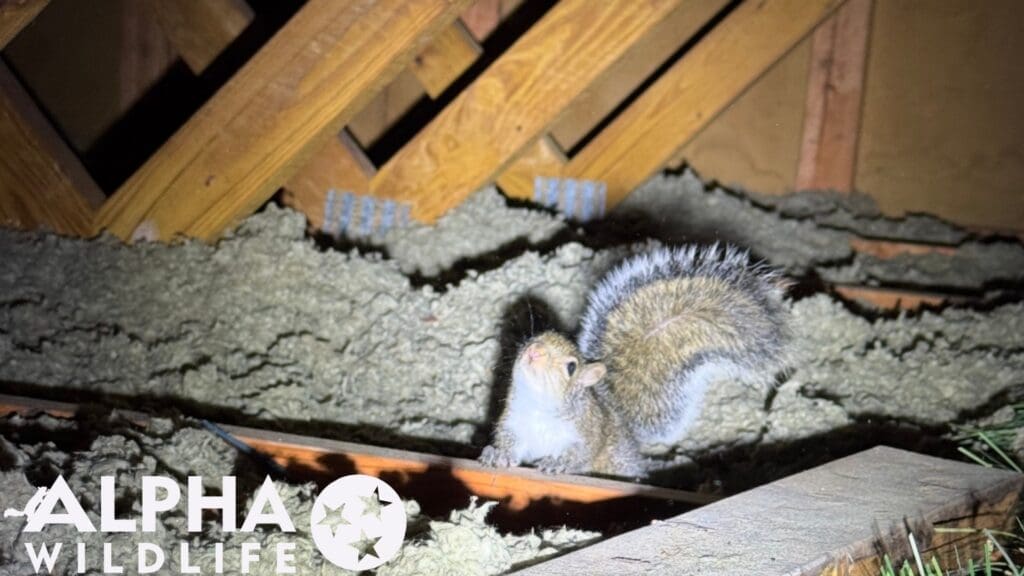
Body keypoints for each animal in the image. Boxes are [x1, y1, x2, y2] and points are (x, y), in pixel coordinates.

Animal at [479, 244, 791, 477]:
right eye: (534, 338)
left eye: (571, 367)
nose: (534, 352)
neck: (538, 407)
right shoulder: (513, 426)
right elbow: (511, 447)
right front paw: (496, 455)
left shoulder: (588, 431)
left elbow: (581, 454)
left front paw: (559, 463)